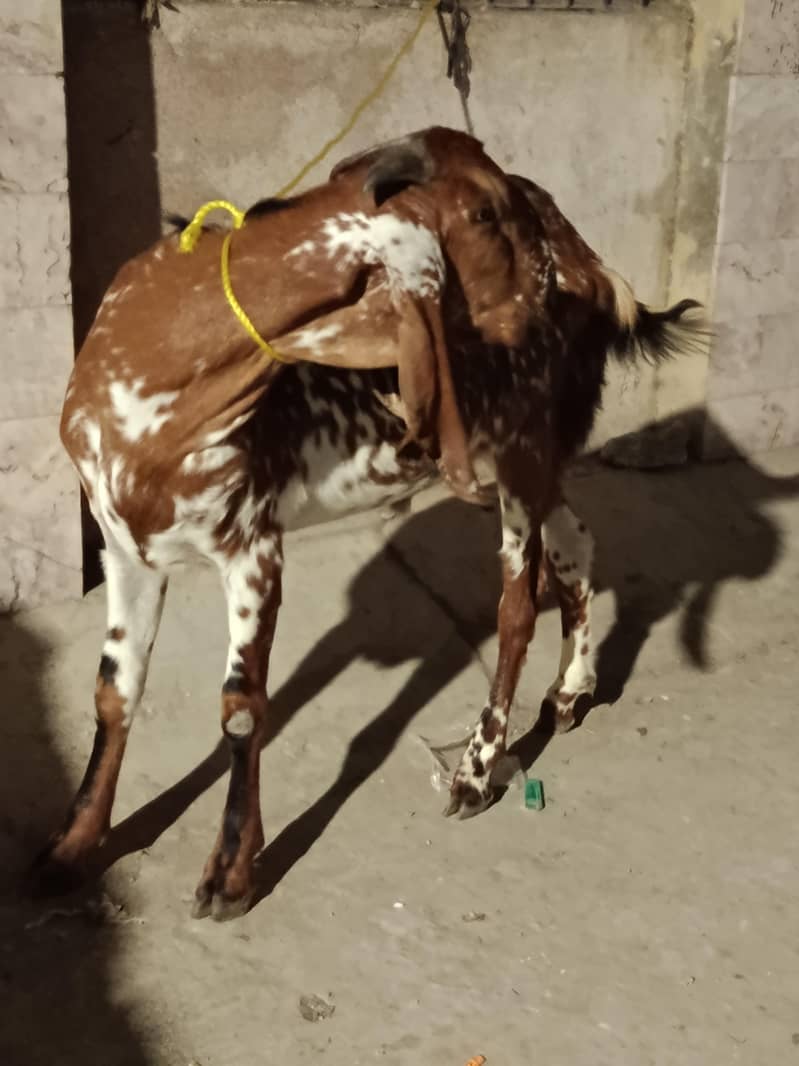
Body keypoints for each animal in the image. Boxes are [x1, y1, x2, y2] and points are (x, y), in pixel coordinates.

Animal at [35, 130, 700, 919]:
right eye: (483, 211)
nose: (546, 296)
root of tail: (595, 269)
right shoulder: (124, 547)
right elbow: (113, 691)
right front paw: (74, 845)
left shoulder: (253, 545)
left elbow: (241, 709)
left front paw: (231, 874)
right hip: (519, 461)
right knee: (574, 543)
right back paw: (569, 692)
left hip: (519, 451)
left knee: (514, 609)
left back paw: (476, 771)